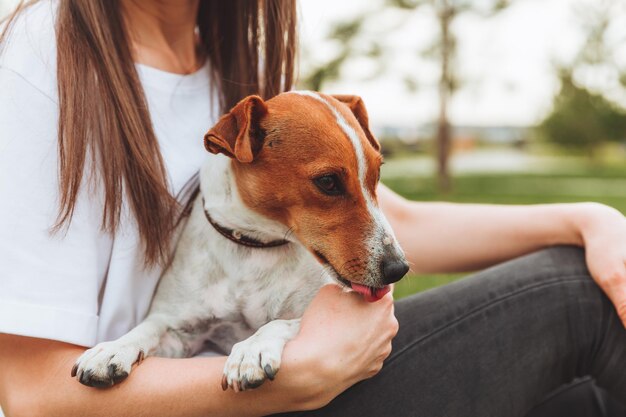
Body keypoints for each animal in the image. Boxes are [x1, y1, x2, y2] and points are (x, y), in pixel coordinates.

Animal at [70, 90, 410, 390]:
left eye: (377, 174)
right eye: (328, 182)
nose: (398, 269)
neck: (256, 245)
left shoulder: (314, 314)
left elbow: (281, 322)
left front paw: (251, 349)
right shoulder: (182, 334)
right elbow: (150, 327)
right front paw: (114, 347)